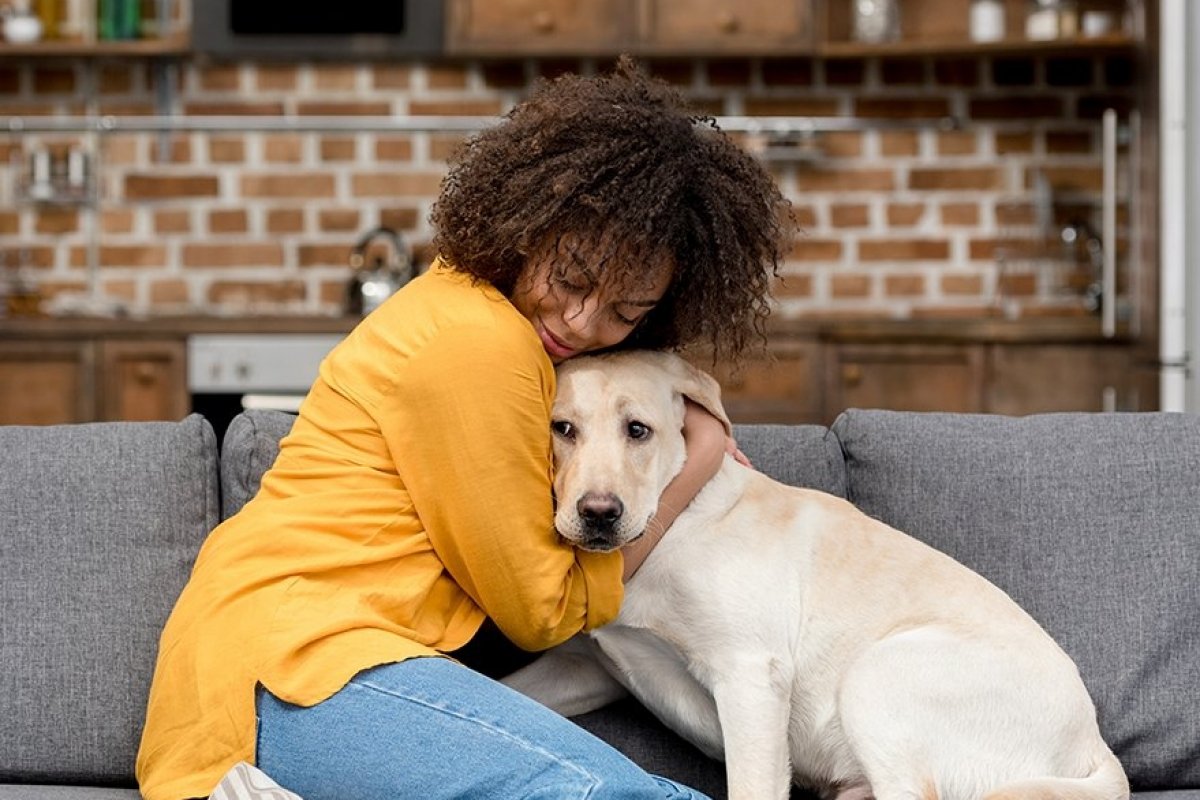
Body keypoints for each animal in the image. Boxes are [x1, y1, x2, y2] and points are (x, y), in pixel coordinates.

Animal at [501, 352, 1128, 800]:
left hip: (877, 675)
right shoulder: (585, 668)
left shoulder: (750, 678)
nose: (598, 514)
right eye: (561, 429)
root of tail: (1095, 745)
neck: (669, 524)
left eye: (638, 430)